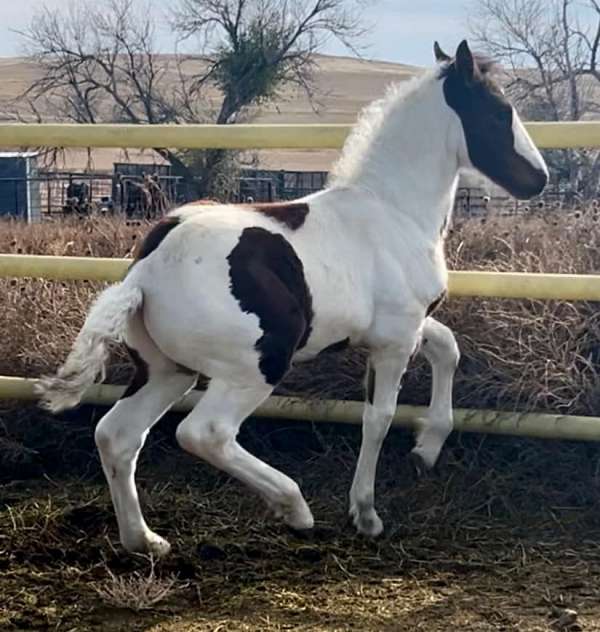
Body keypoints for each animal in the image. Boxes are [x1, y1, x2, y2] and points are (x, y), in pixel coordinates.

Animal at [35, 39, 548, 556]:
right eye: (500, 111)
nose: (539, 179)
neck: (393, 211)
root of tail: (147, 269)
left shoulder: (404, 326)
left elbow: (447, 348)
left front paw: (426, 448)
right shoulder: (395, 340)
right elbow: (379, 417)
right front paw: (366, 513)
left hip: (166, 370)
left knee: (117, 435)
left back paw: (145, 539)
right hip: (254, 367)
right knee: (205, 433)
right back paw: (294, 508)